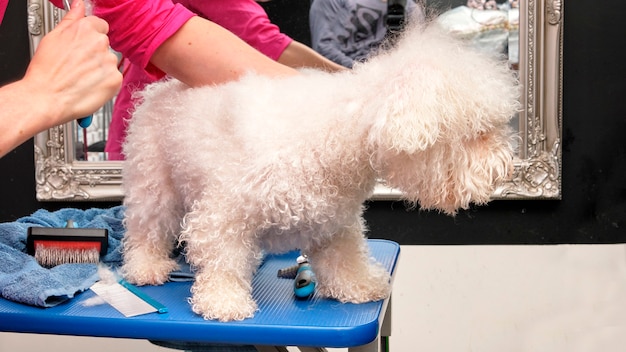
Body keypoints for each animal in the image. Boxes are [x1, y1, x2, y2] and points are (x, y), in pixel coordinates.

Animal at [120, 19, 516, 322]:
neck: (337, 134)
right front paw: (223, 301)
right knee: (146, 230)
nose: (505, 167)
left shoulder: (334, 222)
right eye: (477, 133)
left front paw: (360, 284)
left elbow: (345, 259)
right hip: (154, 182)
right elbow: (223, 263)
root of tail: (158, 89)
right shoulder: (222, 216)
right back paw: (146, 267)